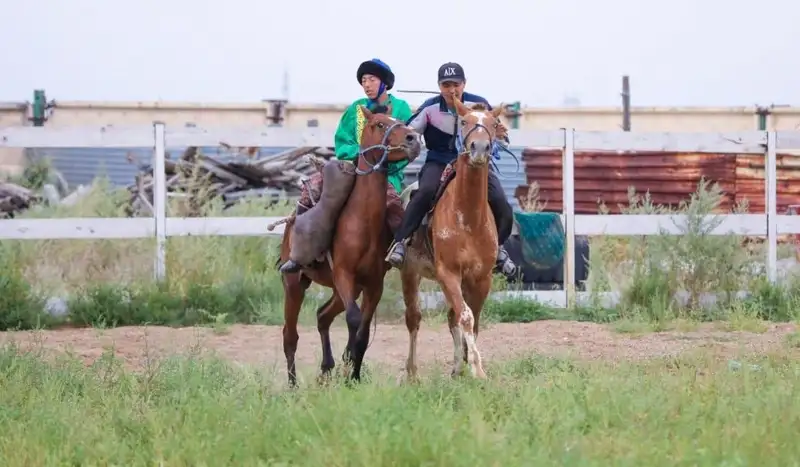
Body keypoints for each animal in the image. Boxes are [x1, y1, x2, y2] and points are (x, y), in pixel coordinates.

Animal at [278, 107, 422, 388]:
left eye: (401, 121)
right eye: (379, 124)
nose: (413, 139)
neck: (361, 223)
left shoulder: (372, 285)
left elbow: (363, 332)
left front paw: (353, 377)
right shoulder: (344, 275)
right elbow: (354, 319)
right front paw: (350, 370)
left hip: (344, 290)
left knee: (322, 316)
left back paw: (326, 368)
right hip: (294, 284)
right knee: (290, 335)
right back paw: (292, 385)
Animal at [398, 98, 504, 380]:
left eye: (494, 124)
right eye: (464, 121)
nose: (480, 148)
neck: (467, 218)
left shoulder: (481, 278)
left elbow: (471, 319)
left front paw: (468, 363)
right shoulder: (449, 273)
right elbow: (466, 316)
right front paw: (477, 367)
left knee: (450, 316)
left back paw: (457, 366)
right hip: (410, 272)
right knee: (413, 318)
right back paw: (412, 373)